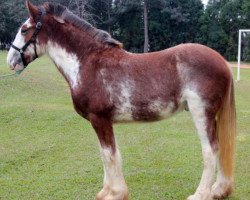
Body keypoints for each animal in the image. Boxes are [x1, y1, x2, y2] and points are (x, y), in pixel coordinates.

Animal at [6, 1, 236, 200]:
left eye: (24, 29)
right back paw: (218, 190)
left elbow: (110, 155)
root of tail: (222, 61)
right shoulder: (101, 122)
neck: (87, 63)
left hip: (201, 113)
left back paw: (201, 194)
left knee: (210, 150)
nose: (11, 60)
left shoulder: (100, 119)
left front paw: (115, 193)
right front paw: (105, 191)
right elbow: (104, 155)